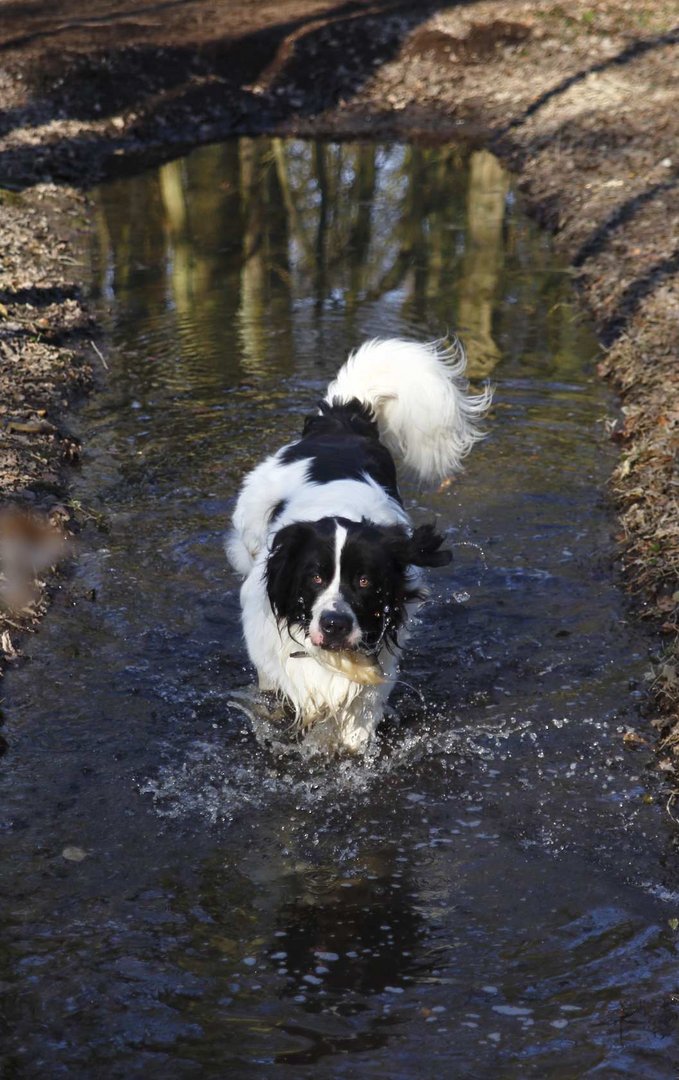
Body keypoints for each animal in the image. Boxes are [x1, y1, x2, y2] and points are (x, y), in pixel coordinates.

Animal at [226, 336, 487, 751]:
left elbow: (354, 730)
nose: (334, 624)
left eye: (365, 581)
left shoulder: (375, 674)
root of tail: (340, 422)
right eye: (315, 578)